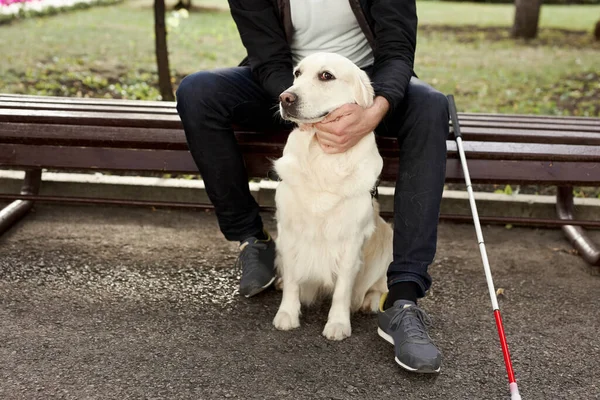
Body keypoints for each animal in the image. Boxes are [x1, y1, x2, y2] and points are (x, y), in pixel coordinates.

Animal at [272, 52, 394, 340]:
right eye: (297, 73)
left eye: (326, 75)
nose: (285, 98)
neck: (320, 153)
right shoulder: (289, 231)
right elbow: (293, 279)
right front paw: (287, 314)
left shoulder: (350, 238)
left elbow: (342, 290)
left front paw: (338, 323)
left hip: (388, 239)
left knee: (379, 287)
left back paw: (371, 302)